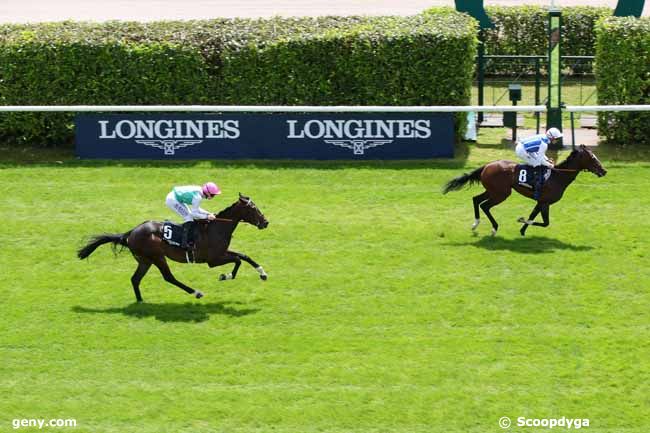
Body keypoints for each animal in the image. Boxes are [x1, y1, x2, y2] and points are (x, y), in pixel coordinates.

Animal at [78, 194, 268, 302]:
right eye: (253, 208)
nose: (265, 222)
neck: (217, 228)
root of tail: (131, 232)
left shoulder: (221, 253)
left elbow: (244, 256)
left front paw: (262, 273)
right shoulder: (213, 260)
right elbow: (237, 260)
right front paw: (225, 276)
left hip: (145, 260)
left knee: (135, 279)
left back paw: (140, 301)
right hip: (157, 257)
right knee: (168, 277)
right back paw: (196, 292)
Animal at [442, 143, 604, 235]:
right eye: (593, 158)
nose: (604, 171)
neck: (558, 176)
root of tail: (487, 166)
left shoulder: (540, 202)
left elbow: (533, 217)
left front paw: (522, 231)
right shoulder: (545, 203)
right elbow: (544, 223)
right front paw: (521, 220)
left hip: (493, 191)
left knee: (476, 199)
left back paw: (476, 224)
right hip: (501, 193)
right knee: (485, 206)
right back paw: (494, 228)